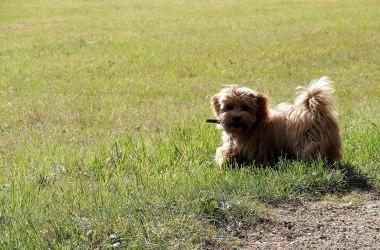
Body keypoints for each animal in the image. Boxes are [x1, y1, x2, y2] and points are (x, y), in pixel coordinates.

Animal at [209, 76, 342, 168]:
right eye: (229, 107)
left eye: (245, 107)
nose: (236, 118)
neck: (254, 125)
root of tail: (315, 110)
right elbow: (227, 151)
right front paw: (226, 161)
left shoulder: (258, 147)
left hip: (309, 140)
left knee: (312, 150)